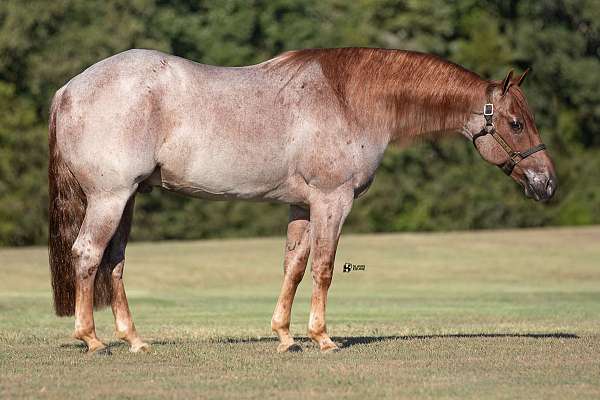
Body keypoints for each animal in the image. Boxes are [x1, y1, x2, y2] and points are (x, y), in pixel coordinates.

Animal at [48, 47, 556, 354]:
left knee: (113, 263)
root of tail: (69, 89)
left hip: (128, 199)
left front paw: (285, 335)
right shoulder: (334, 200)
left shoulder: (302, 206)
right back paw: (92, 340)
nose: (546, 182)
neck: (350, 99)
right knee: (88, 255)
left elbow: (293, 265)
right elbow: (324, 267)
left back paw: (134, 340)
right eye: (516, 124)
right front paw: (322, 337)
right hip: (110, 198)